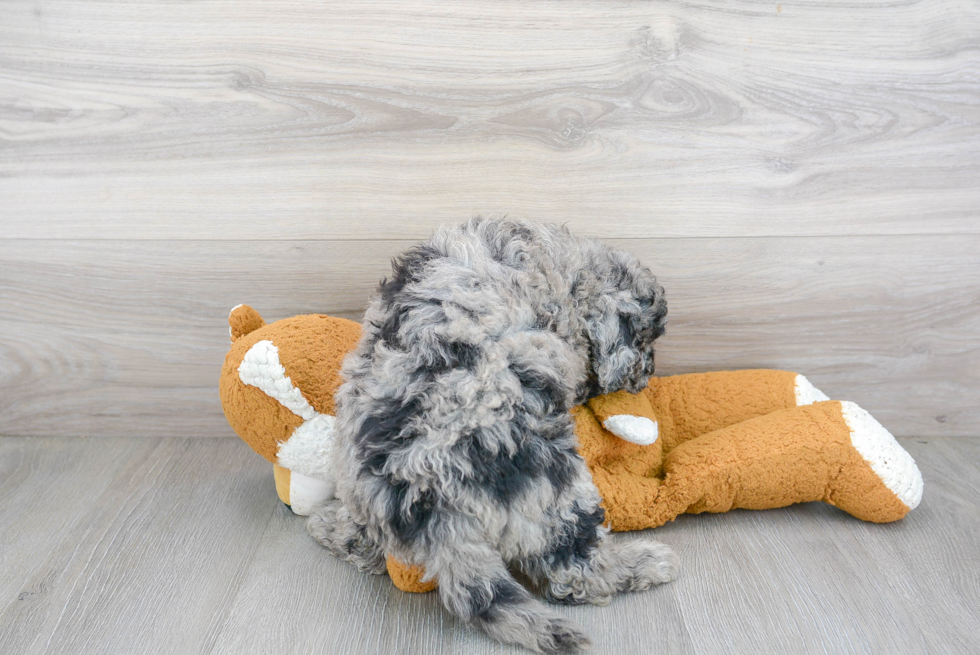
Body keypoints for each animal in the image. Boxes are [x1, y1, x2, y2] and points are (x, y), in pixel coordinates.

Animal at [310, 219, 676, 652]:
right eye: (644, 341)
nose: (646, 376)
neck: (562, 270)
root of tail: (427, 492)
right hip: (553, 487)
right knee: (575, 571)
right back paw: (644, 562)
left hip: (358, 478)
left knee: (367, 545)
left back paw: (329, 527)